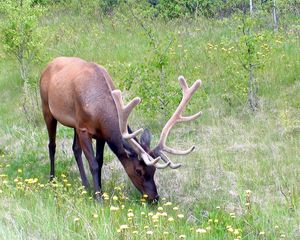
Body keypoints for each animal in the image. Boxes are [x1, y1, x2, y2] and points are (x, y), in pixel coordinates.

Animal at [38, 57, 200, 202]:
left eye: (154, 171)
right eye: (138, 171)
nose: (155, 198)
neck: (99, 110)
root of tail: (48, 65)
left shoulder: (99, 133)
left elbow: (99, 161)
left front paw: (99, 191)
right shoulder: (84, 128)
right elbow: (93, 164)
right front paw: (98, 198)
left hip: (73, 124)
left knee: (75, 149)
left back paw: (85, 185)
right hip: (47, 108)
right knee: (52, 145)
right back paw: (52, 179)